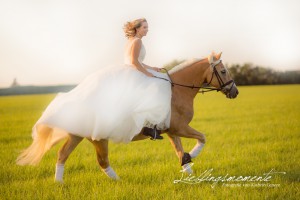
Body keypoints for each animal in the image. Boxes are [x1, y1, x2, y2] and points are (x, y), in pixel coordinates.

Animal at [16, 52, 238, 182]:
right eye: (223, 71)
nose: (235, 92)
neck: (178, 90)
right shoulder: (180, 127)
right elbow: (202, 138)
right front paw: (192, 156)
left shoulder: (171, 130)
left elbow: (179, 151)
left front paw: (188, 171)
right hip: (99, 138)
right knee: (102, 161)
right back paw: (118, 182)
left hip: (77, 135)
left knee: (62, 155)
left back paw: (59, 183)